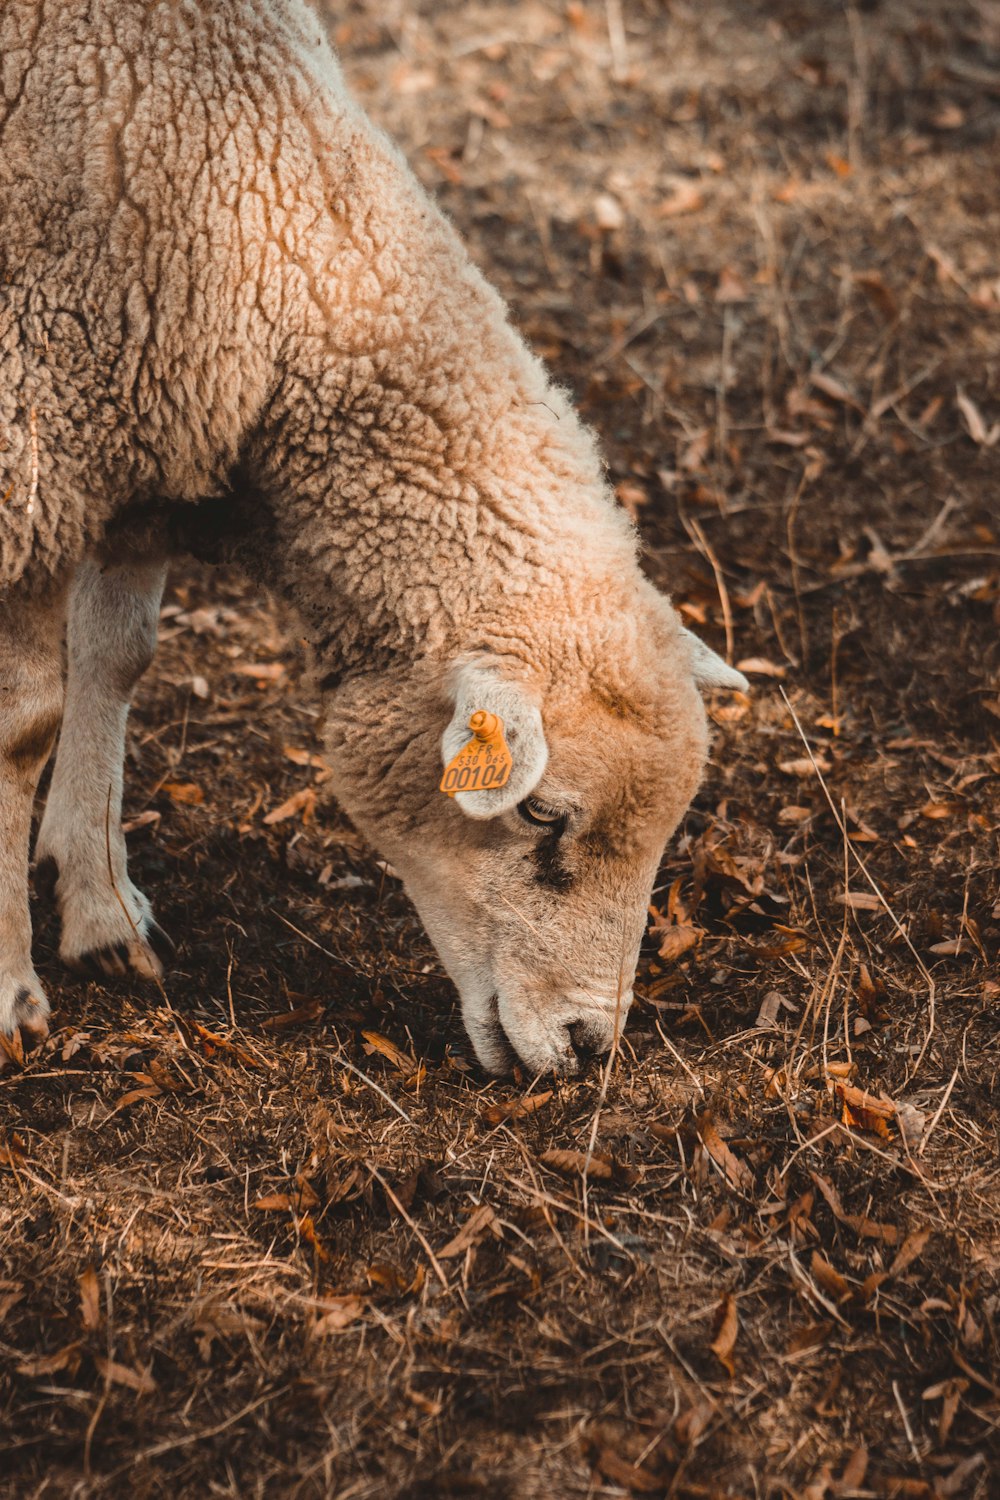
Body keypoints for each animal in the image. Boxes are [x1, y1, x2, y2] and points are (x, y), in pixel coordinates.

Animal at [0, 0, 743, 1080]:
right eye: (537, 812)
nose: (586, 1046)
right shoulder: (32, 453)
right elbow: (23, 726)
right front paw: (12, 989)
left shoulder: (142, 446)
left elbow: (115, 661)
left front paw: (101, 910)